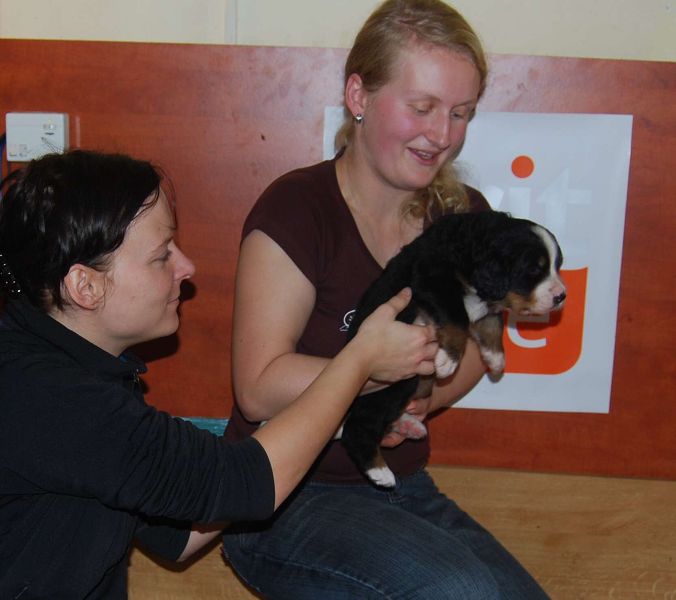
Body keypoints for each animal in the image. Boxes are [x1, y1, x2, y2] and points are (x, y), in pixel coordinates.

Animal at [341, 210, 566, 487]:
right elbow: (458, 318)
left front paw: (495, 359)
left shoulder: (483, 302)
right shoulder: (433, 280)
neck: (471, 249)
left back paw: (409, 425)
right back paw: (379, 471)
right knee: (360, 425)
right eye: (534, 269)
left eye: (557, 266)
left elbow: (492, 323)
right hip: (395, 383)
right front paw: (448, 360)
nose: (562, 296)